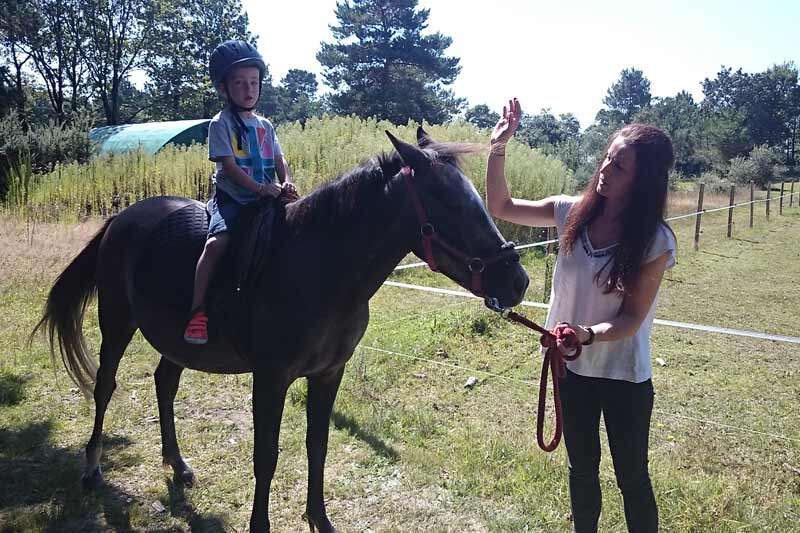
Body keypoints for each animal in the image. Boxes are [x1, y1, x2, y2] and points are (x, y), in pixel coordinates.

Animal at [32, 130, 532, 532]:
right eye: (451, 203)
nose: (517, 281)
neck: (316, 268)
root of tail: (122, 218)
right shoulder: (270, 379)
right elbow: (266, 456)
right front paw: (262, 525)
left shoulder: (329, 374)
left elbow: (318, 445)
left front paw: (320, 518)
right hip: (117, 321)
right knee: (104, 386)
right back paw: (92, 468)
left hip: (174, 341)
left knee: (164, 383)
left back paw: (178, 464)